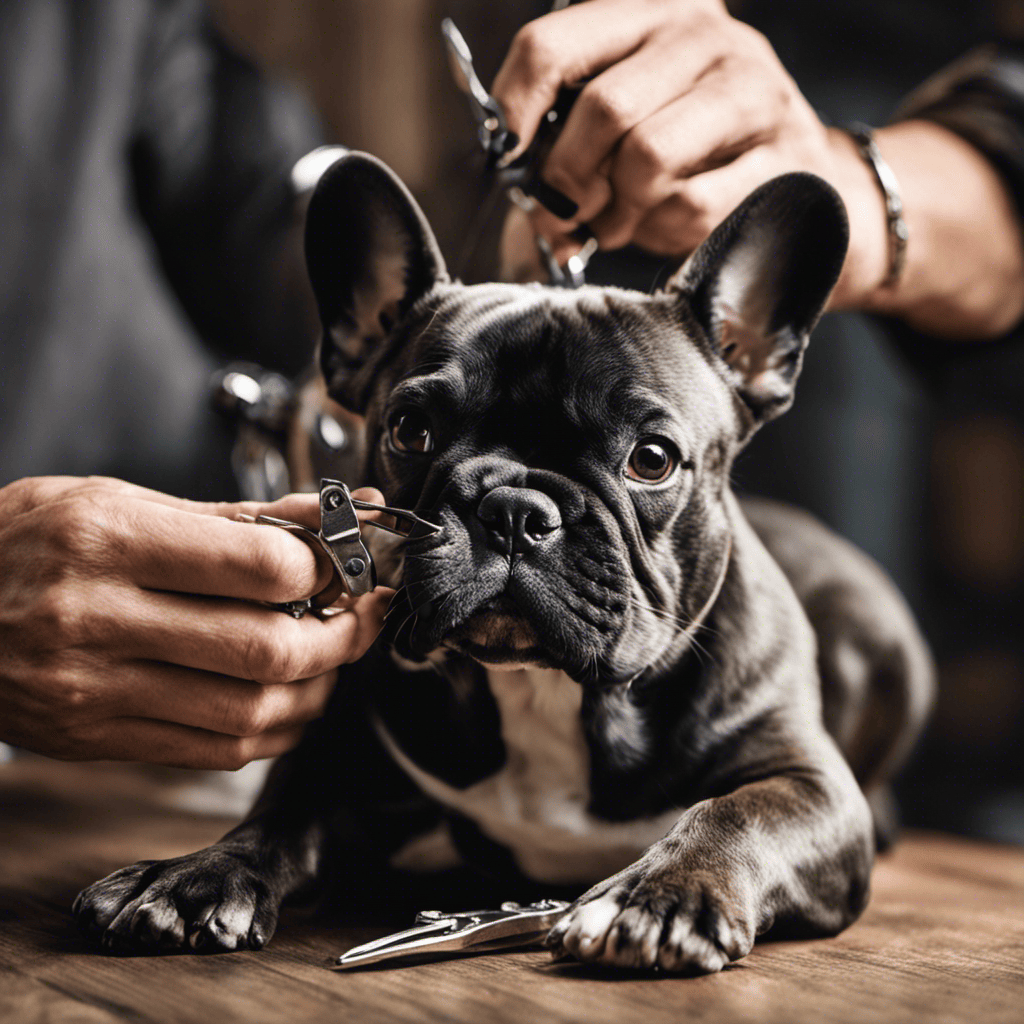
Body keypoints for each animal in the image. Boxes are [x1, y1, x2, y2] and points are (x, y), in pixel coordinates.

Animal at [75, 153, 933, 974]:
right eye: (410, 430)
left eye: (652, 459)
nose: (515, 509)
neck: (547, 694)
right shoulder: (344, 757)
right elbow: (283, 807)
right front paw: (192, 876)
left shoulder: (811, 786)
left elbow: (737, 812)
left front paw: (659, 896)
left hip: (874, 632)